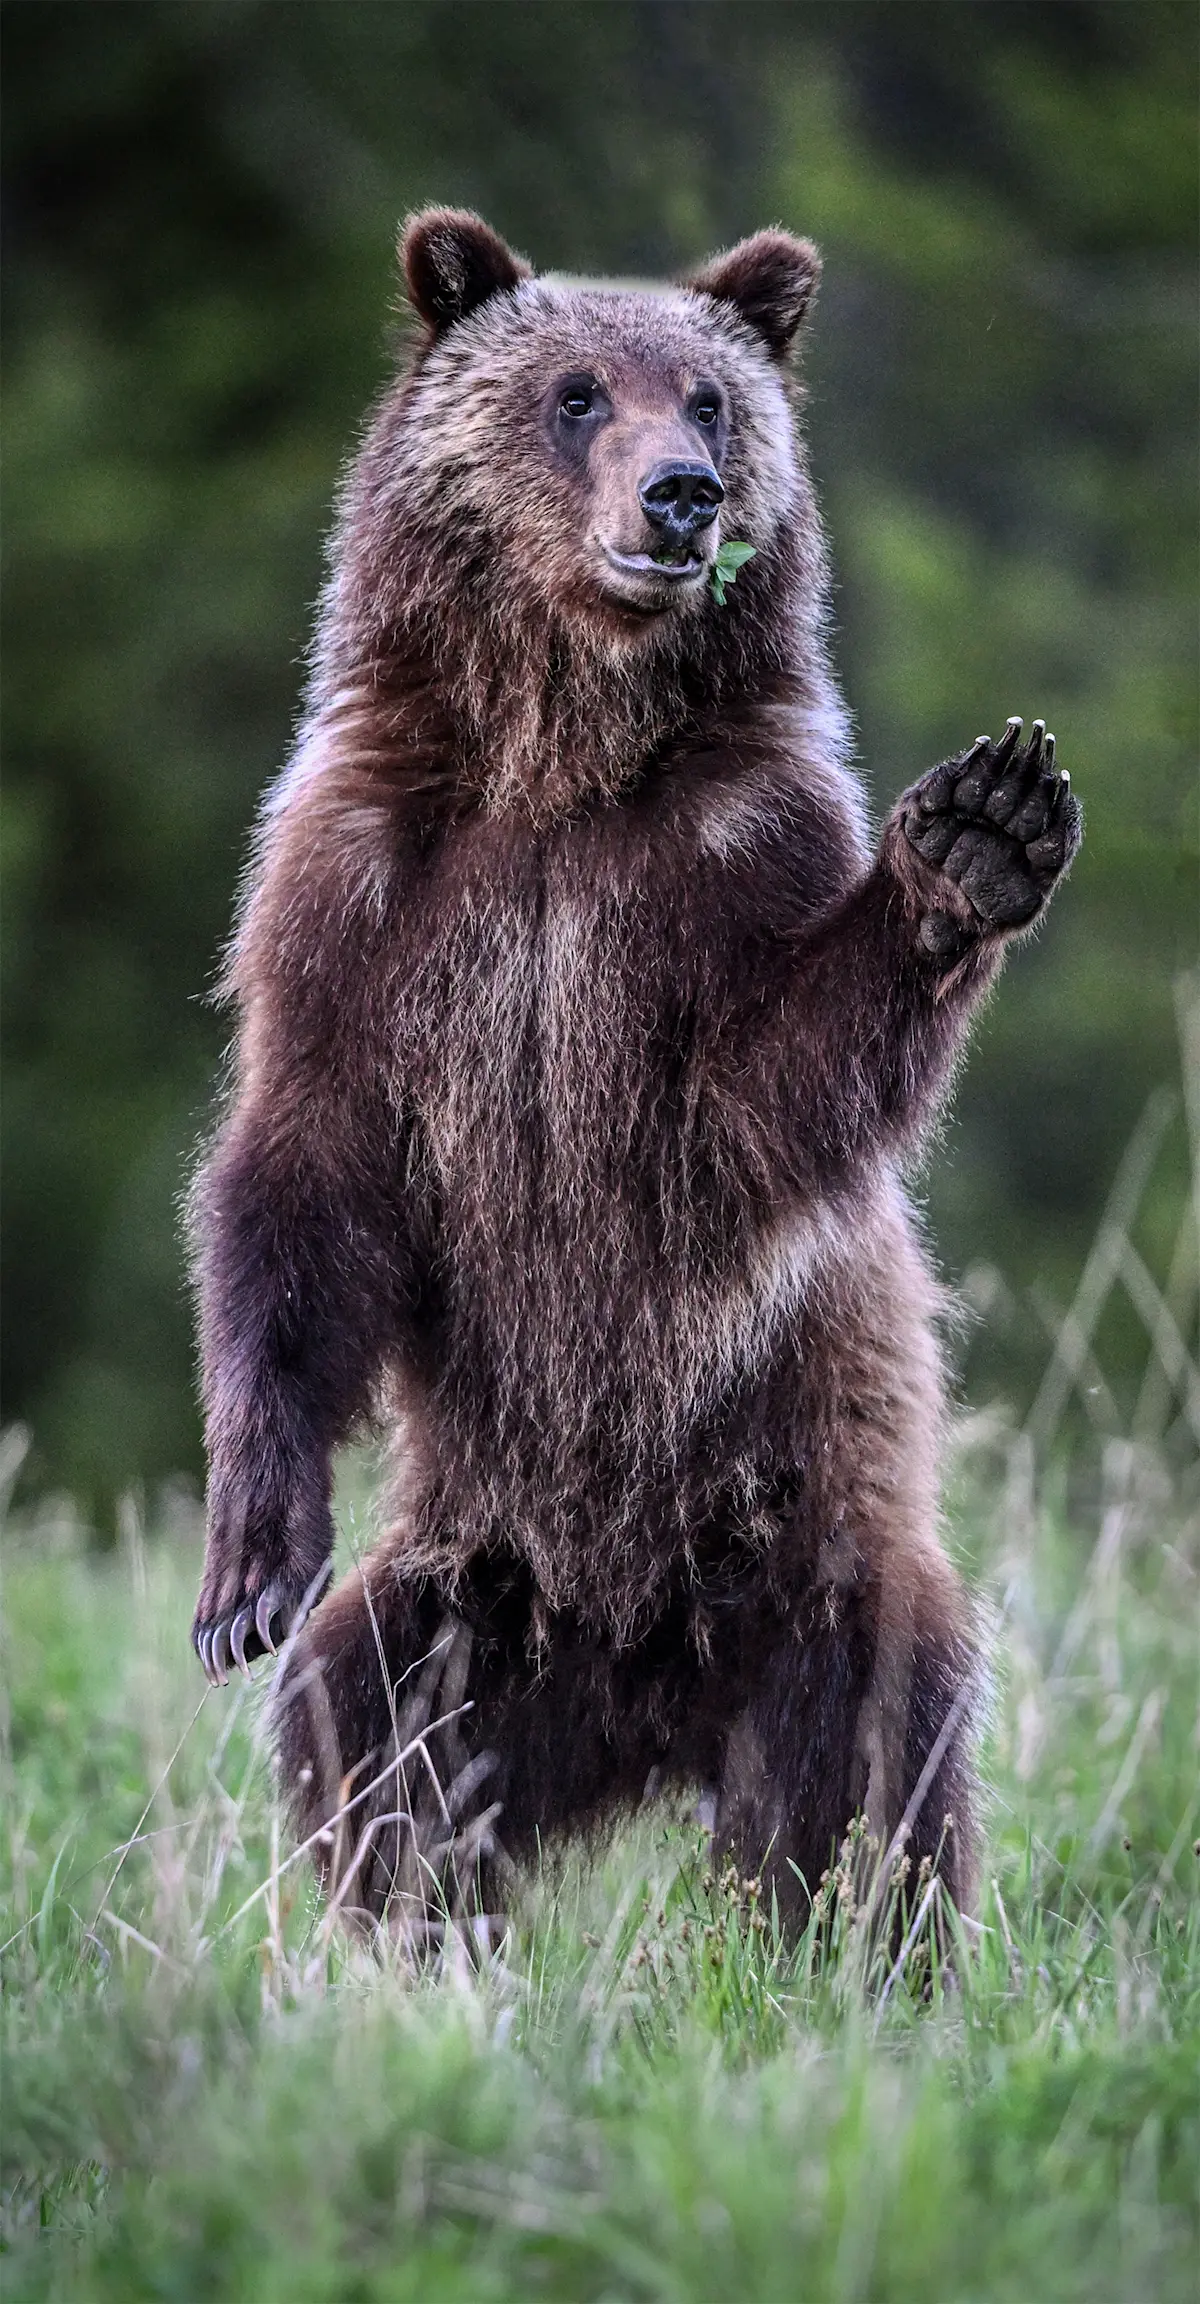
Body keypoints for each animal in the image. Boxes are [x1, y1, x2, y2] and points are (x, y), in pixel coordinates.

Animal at [189, 209, 1081, 1937]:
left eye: (714, 401)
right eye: (577, 392)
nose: (686, 495)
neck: (559, 756)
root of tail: (639, 1696)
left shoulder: (722, 865)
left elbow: (762, 1104)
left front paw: (974, 835)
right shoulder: (359, 885)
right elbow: (304, 1168)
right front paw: (246, 1568)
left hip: (801, 1554)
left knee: (862, 1778)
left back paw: (845, 1955)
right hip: (475, 1593)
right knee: (366, 1727)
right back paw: (404, 1936)